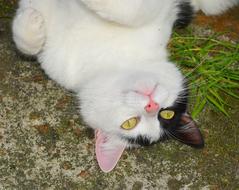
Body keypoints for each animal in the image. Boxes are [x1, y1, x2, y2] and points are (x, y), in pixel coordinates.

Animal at [12, 0, 238, 172]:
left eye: (165, 114)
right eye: (130, 122)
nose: (152, 105)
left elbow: (128, 11)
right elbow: (29, 44)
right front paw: (31, 25)